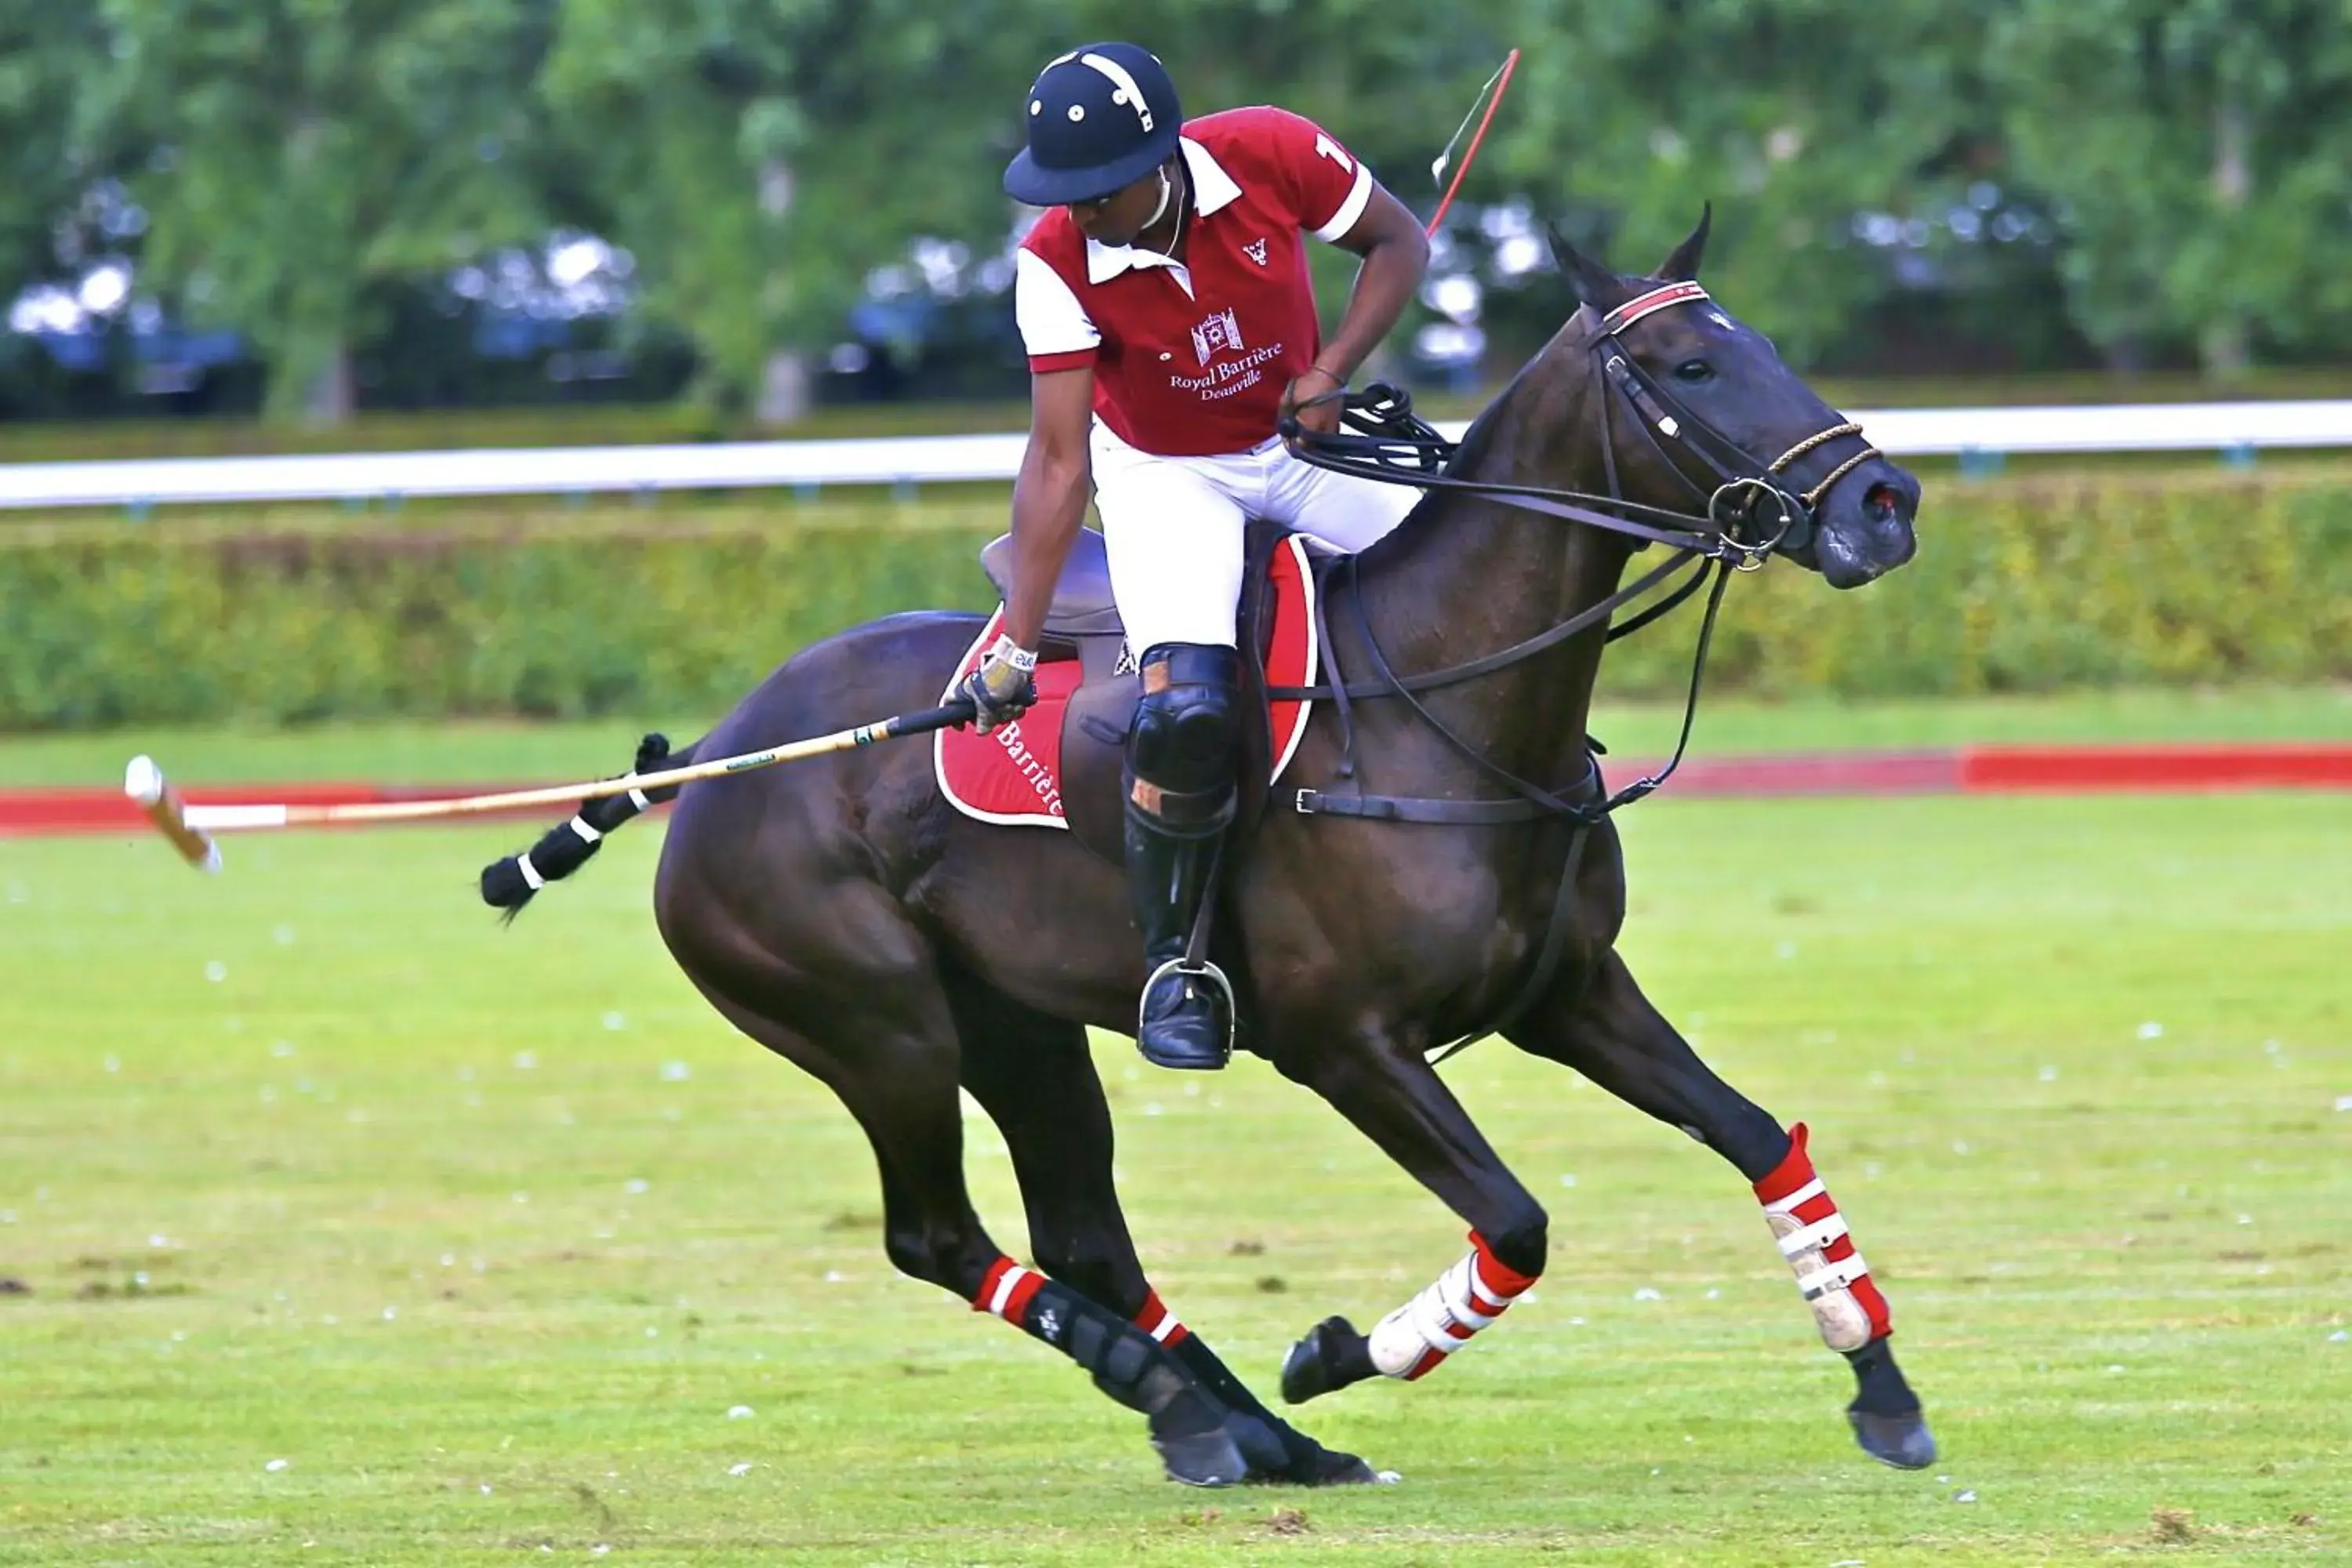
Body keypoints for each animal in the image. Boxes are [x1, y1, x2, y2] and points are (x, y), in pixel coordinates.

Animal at [482, 217, 1929, 1486]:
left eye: (1757, 342)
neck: (1448, 701)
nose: (1887, 500)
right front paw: (1339, 1350)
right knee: (936, 1233)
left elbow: (1757, 1136)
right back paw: (1189, 1404)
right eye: (1690, 368)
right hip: (873, 1025)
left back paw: (1252, 1433)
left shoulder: (1571, 993)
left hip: (1015, 1021)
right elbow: (1516, 1225)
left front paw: (1881, 1385)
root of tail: (720, 752)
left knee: (1082, 1235)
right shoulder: (1347, 1044)